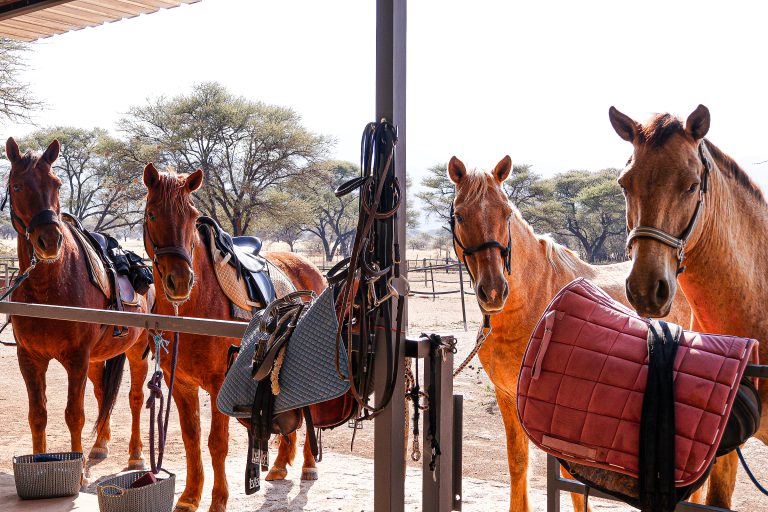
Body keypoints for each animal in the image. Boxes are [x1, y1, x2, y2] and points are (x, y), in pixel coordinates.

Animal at [5, 137, 150, 469]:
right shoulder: (29, 358)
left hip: (138, 350)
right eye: (17, 186)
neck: (48, 291)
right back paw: (99, 446)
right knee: (102, 394)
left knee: (135, 398)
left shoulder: (76, 359)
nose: (49, 241)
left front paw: (79, 471)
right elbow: (38, 415)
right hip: (97, 359)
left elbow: (75, 415)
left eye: (57, 184)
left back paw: (136, 455)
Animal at [141, 163, 327, 512]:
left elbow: (217, 443)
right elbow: (191, 438)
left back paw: (309, 465)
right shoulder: (180, 384)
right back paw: (279, 465)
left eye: (192, 216)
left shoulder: (217, 385)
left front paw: (218, 500)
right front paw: (189, 496)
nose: (180, 281)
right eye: (152, 214)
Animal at [448, 155, 692, 512]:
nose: (493, 291)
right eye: (461, 215)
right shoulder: (506, 396)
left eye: (506, 213)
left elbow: (572, 479)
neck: (533, 304)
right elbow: (518, 462)